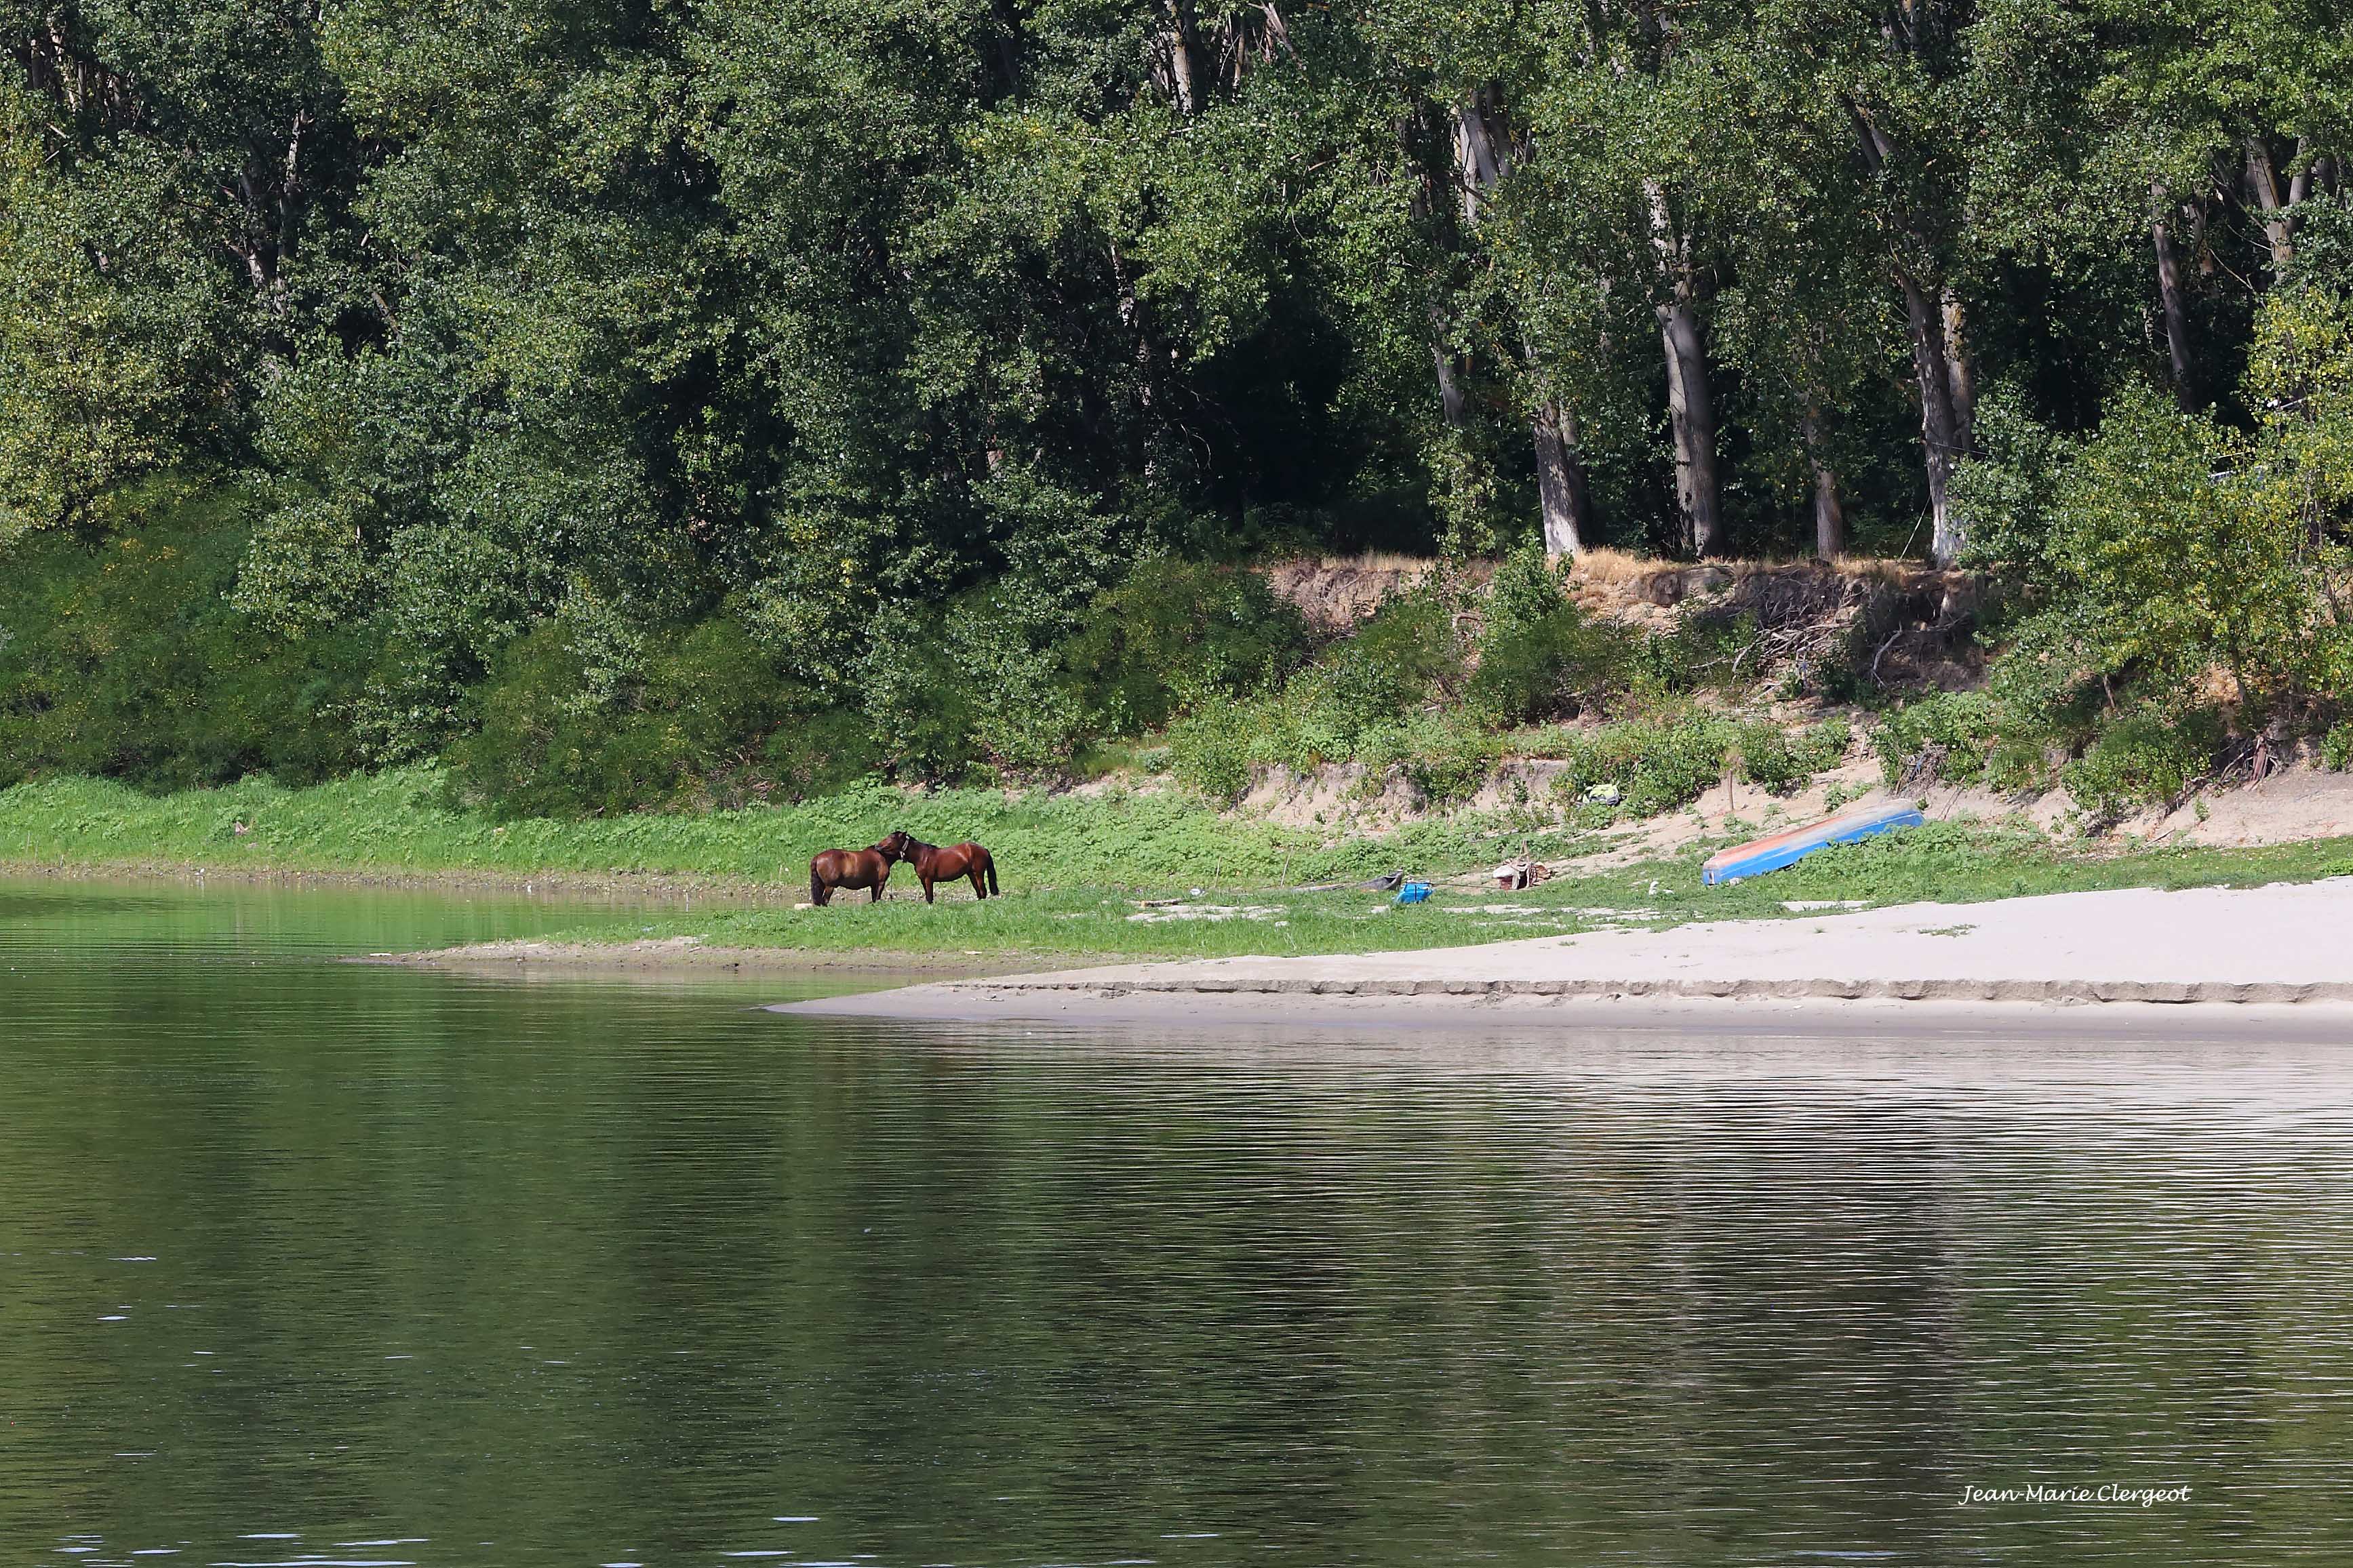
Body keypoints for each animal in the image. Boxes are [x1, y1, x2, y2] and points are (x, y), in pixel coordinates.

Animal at [876, 830, 999, 904]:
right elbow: (927, 896)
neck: (921, 856)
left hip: (978, 874)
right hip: (971, 874)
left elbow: (930, 897)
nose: (877, 846)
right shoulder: (923, 880)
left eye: (891, 839)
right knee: (979, 891)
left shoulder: (928, 880)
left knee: (983, 891)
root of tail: (984, 849)